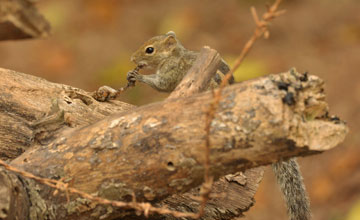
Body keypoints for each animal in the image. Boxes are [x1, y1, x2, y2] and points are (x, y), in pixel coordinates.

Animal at [128, 31, 310, 220]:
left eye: (150, 50)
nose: (132, 58)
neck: (175, 55)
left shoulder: (170, 72)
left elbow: (161, 84)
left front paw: (138, 76)